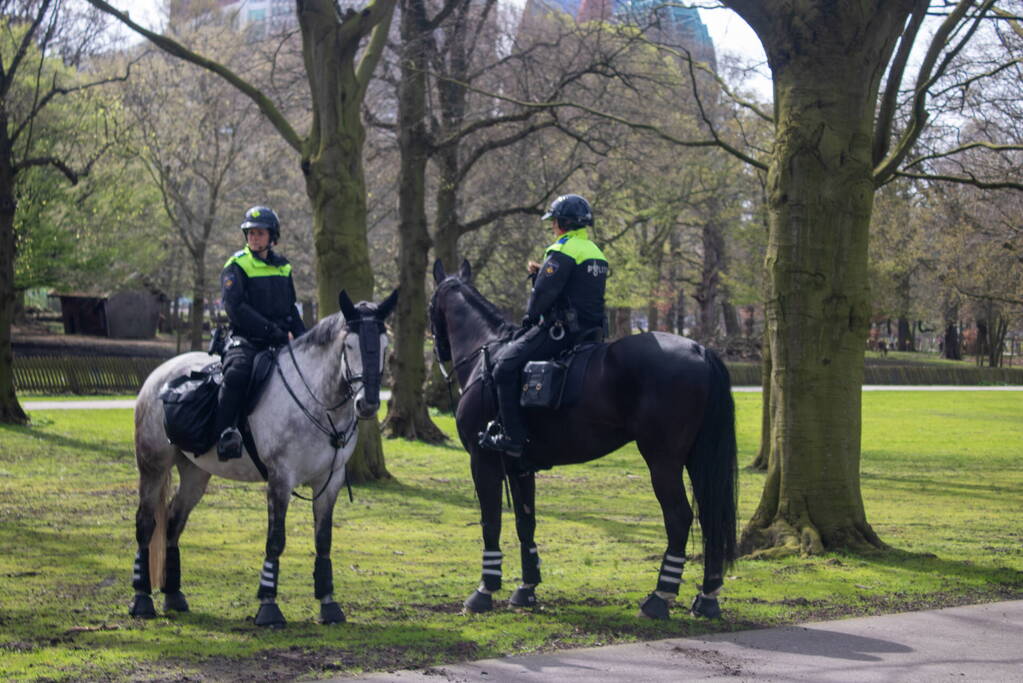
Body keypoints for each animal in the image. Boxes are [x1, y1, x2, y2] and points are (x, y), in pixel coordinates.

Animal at [126, 288, 394, 625]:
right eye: (349, 345)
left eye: (385, 347)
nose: (367, 404)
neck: (317, 400)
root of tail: (160, 376)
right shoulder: (280, 479)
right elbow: (275, 540)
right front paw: (268, 605)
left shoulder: (329, 482)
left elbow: (323, 540)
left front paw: (328, 603)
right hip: (153, 467)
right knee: (146, 524)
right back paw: (142, 598)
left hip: (195, 473)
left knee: (174, 521)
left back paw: (173, 594)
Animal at [427, 261, 740, 617]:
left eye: (430, 304)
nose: (438, 350)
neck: (487, 356)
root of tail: (700, 349)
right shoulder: (520, 467)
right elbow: (525, 522)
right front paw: (527, 588)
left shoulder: (484, 461)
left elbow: (490, 522)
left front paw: (485, 589)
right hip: (698, 460)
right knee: (710, 517)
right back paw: (707, 596)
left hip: (663, 462)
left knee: (679, 517)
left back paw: (660, 597)